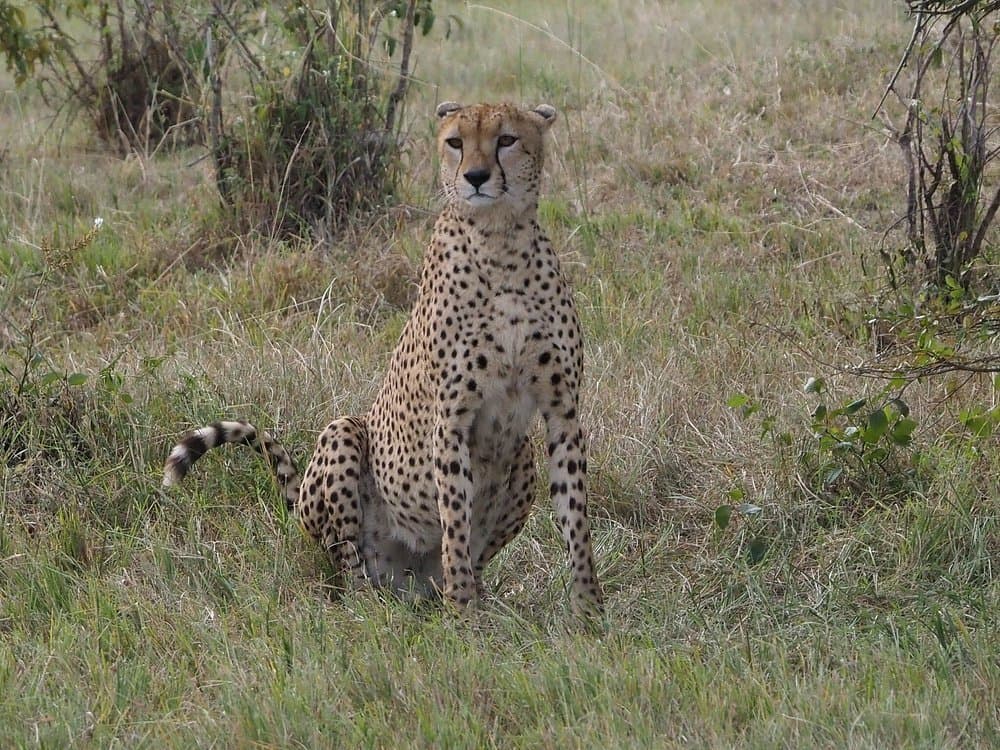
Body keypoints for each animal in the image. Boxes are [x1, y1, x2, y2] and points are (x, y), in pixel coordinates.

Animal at [163, 101, 604, 617]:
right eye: (455, 142)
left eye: (507, 140)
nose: (475, 177)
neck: (500, 242)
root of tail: (409, 584)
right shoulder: (450, 420)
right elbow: (456, 520)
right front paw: (464, 615)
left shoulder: (562, 411)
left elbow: (575, 516)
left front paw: (589, 610)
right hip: (343, 438)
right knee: (349, 559)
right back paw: (376, 604)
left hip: (522, 459)